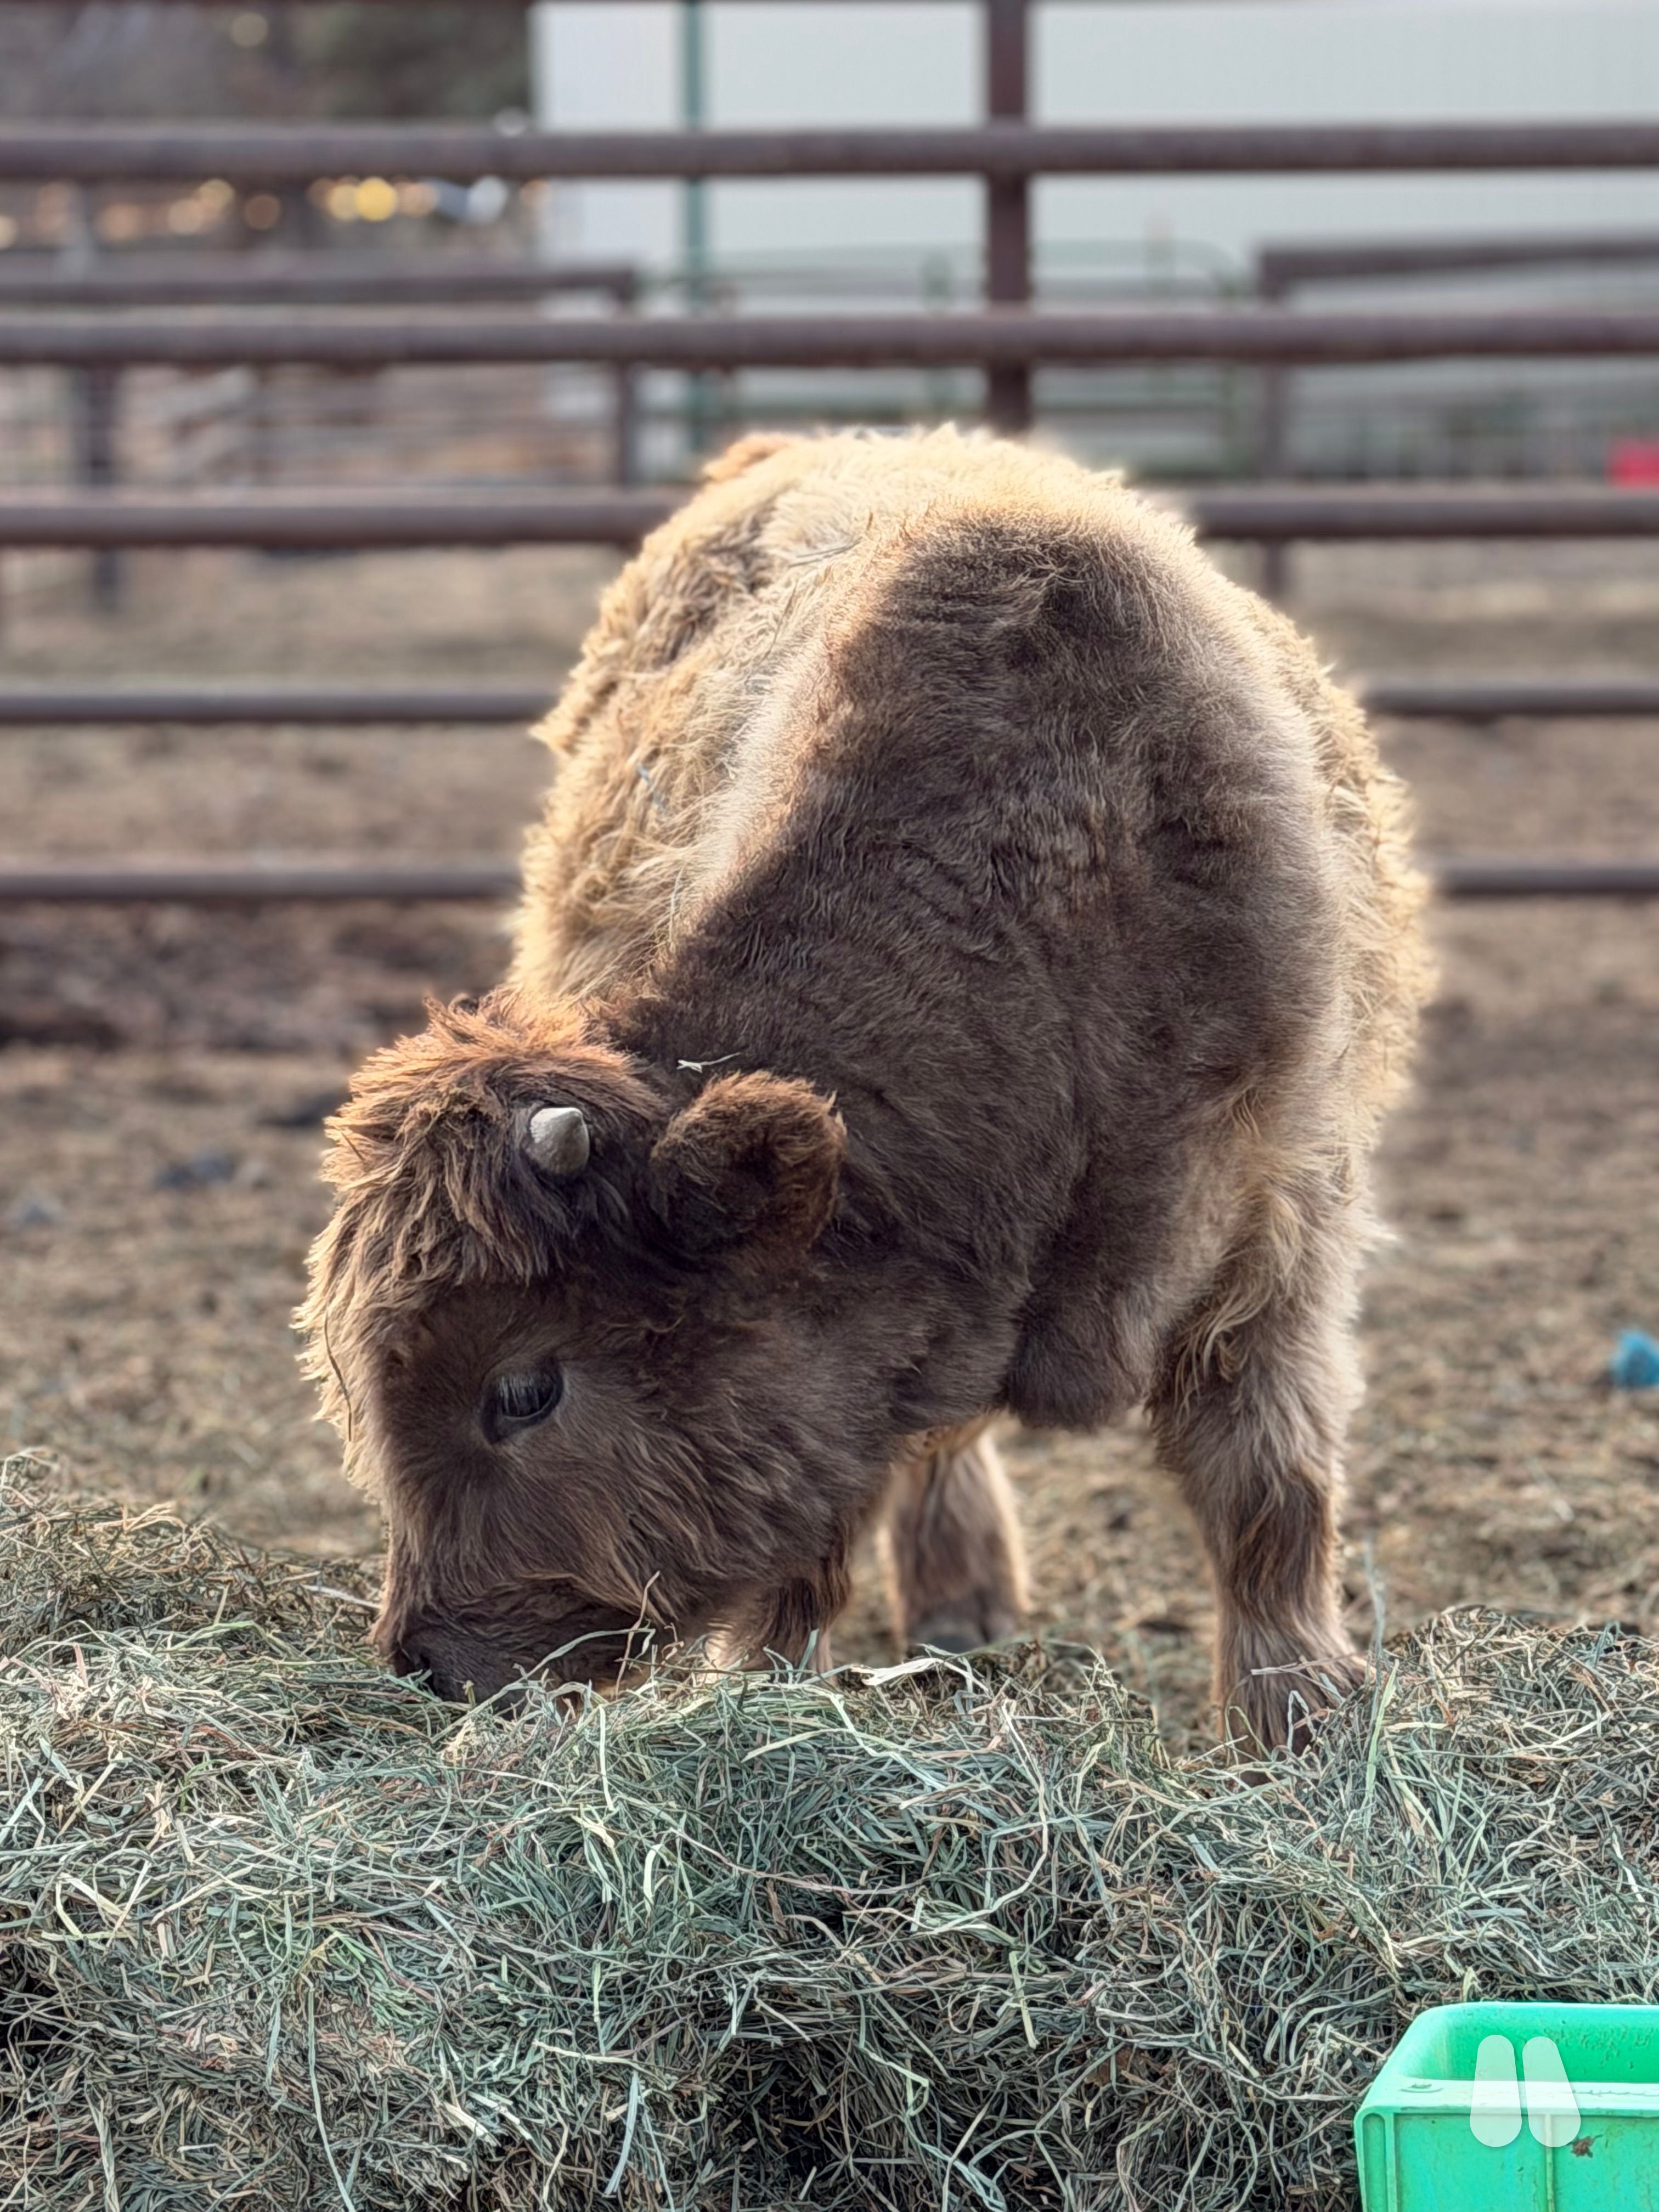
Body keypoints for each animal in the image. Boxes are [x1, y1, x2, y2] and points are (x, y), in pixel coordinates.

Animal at [298, 427, 1430, 1750]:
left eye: (525, 1388)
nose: (424, 1658)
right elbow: (821, 1528)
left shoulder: (1280, 1239)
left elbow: (1268, 1494)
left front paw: (1301, 1714)